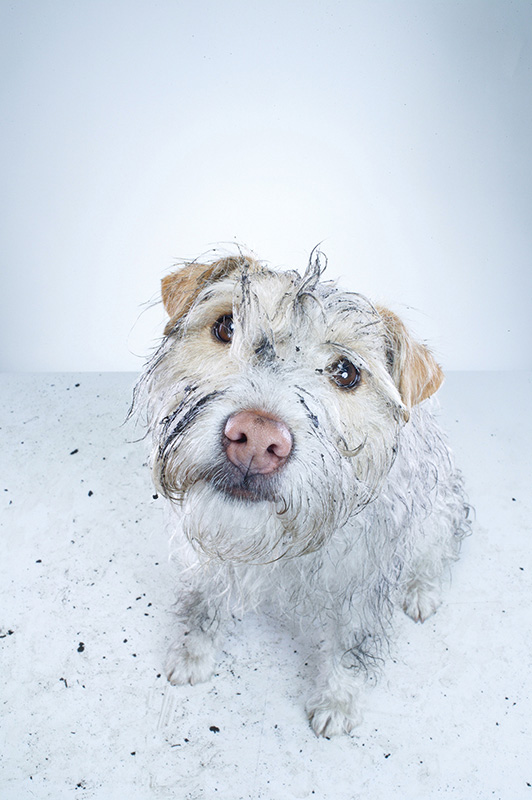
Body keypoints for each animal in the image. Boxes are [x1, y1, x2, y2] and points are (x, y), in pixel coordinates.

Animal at [132, 250, 470, 736]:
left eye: (346, 372)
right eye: (226, 327)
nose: (256, 439)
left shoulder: (363, 583)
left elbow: (351, 646)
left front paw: (338, 702)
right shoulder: (211, 557)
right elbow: (204, 606)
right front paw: (193, 652)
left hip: (440, 514)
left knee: (437, 551)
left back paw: (422, 590)